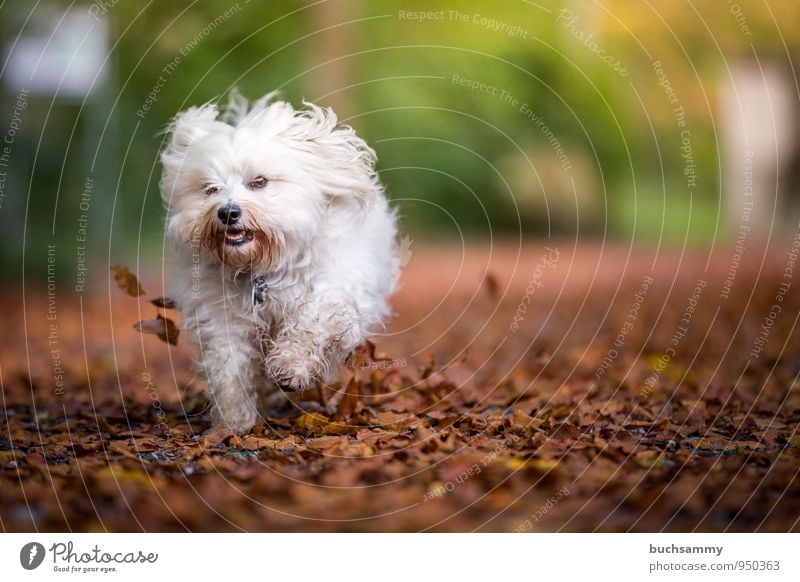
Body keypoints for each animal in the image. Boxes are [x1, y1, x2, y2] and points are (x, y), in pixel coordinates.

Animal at [161, 92, 398, 434]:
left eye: (259, 182)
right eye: (210, 189)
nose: (227, 212)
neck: (262, 267)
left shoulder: (336, 287)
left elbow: (312, 322)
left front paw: (290, 366)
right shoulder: (221, 317)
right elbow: (228, 369)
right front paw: (233, 422)